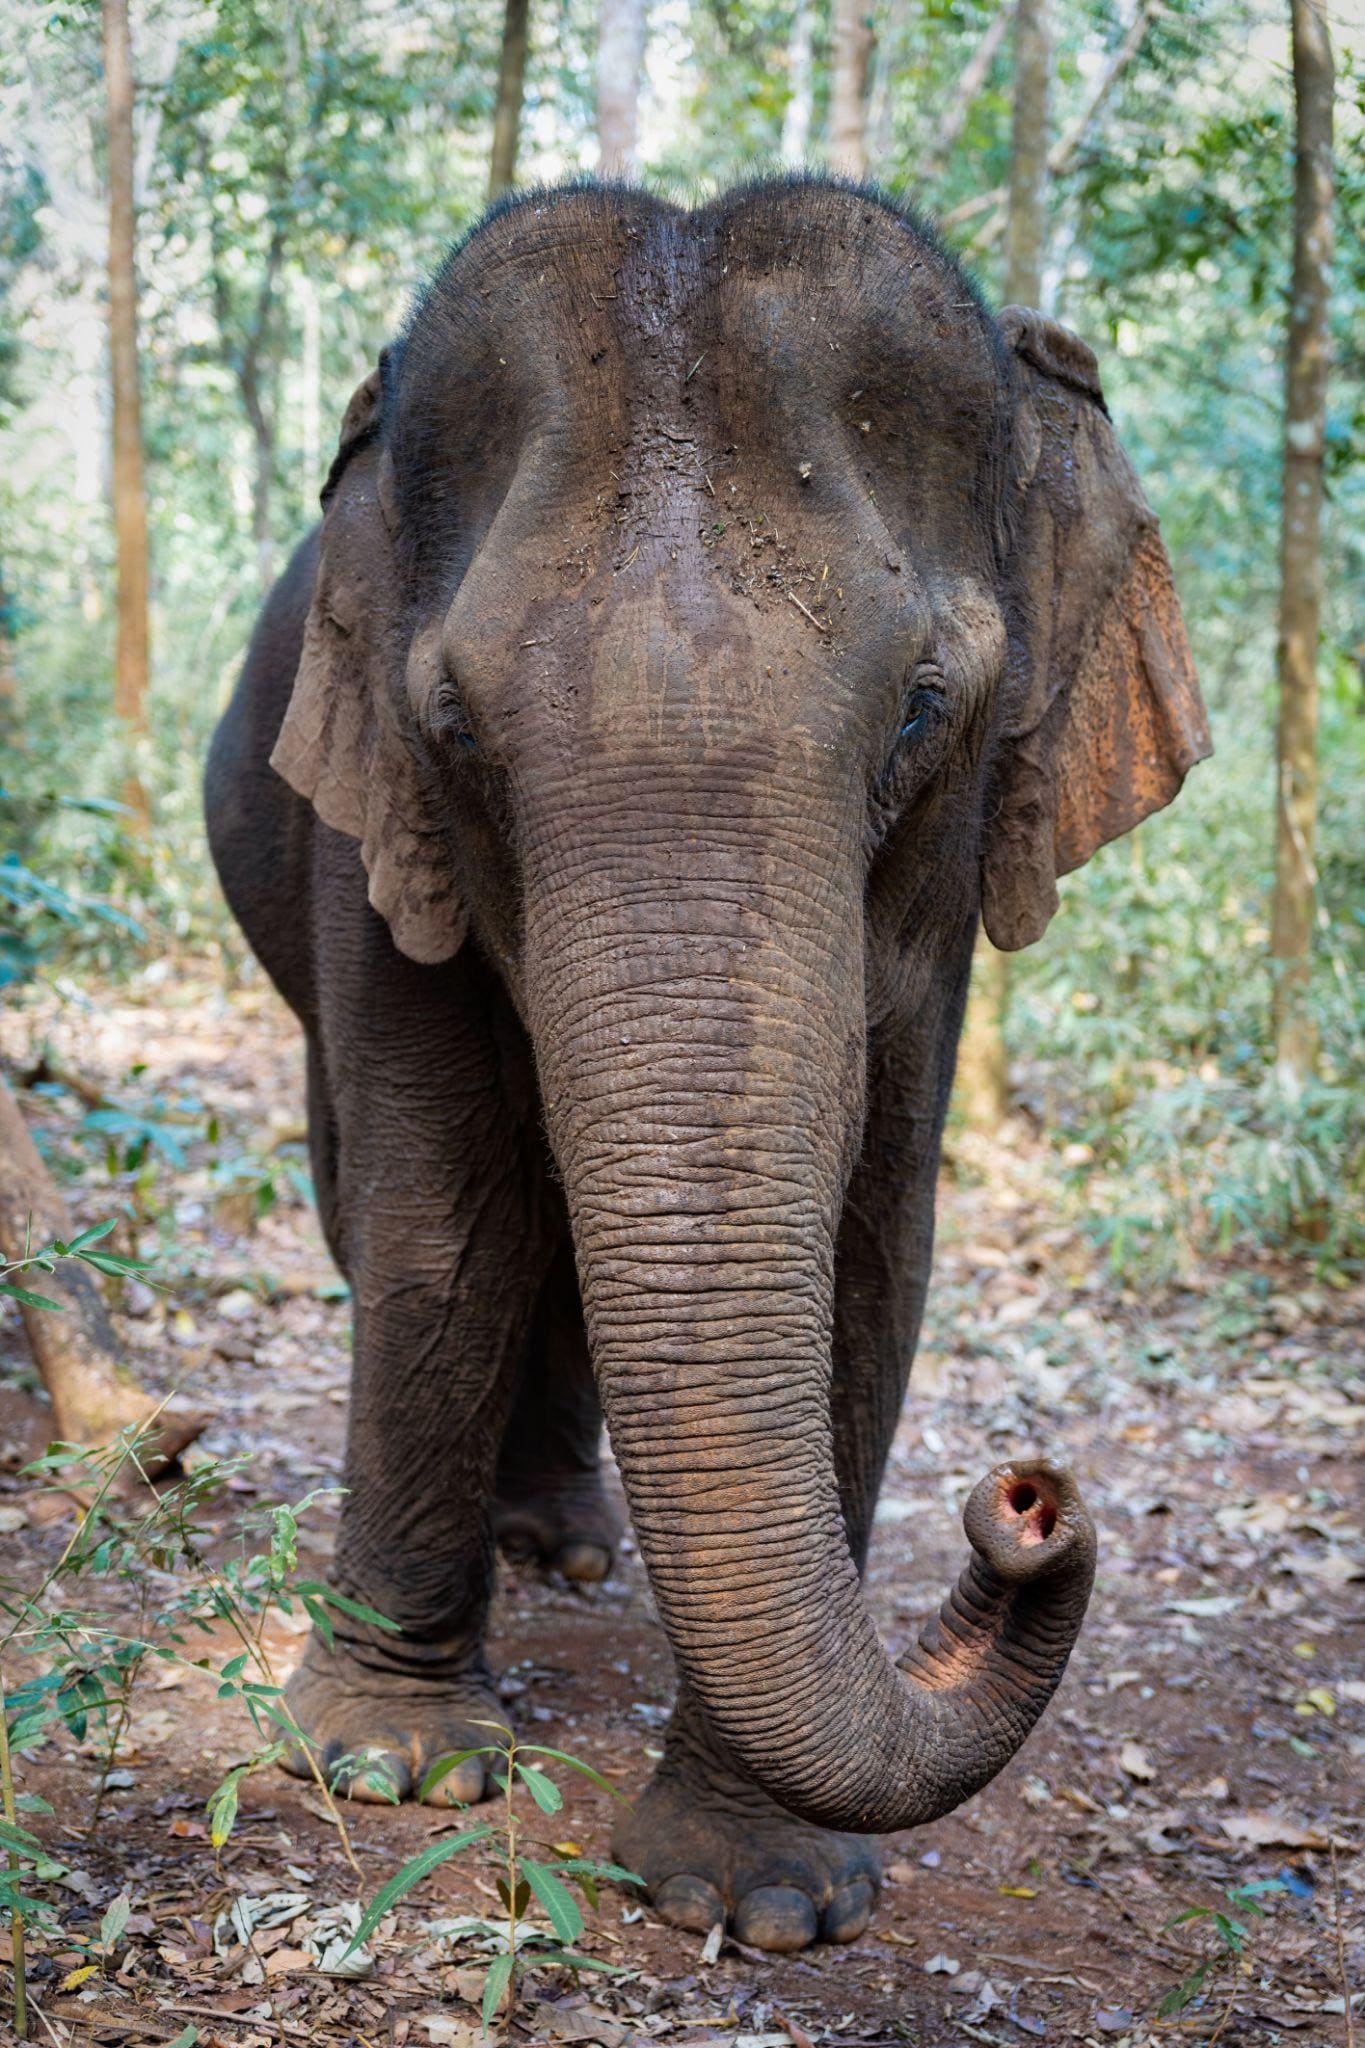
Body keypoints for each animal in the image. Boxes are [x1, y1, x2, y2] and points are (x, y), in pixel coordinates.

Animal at [205, 176, 1210, 1956]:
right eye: (453, 725)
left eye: (922, 711)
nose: (1031, 1499)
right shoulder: (372, 830)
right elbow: (438, 1215)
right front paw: (390, 1765)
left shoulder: (937, 901)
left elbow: (870, 1253)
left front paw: (761, 1896)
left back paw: (566, 1549)